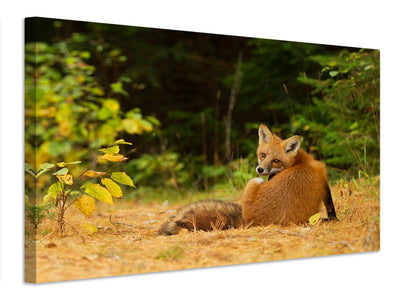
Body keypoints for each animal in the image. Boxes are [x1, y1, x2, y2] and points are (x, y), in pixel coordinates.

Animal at [158, 123, 336, 236]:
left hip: (254, 182)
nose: (260, 169)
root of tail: (249, 221)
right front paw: (333, 219)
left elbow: (330, 205)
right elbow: (330, 205)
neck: (301, 161)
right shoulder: (323, 179)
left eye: (276, 160)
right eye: (263, 155)